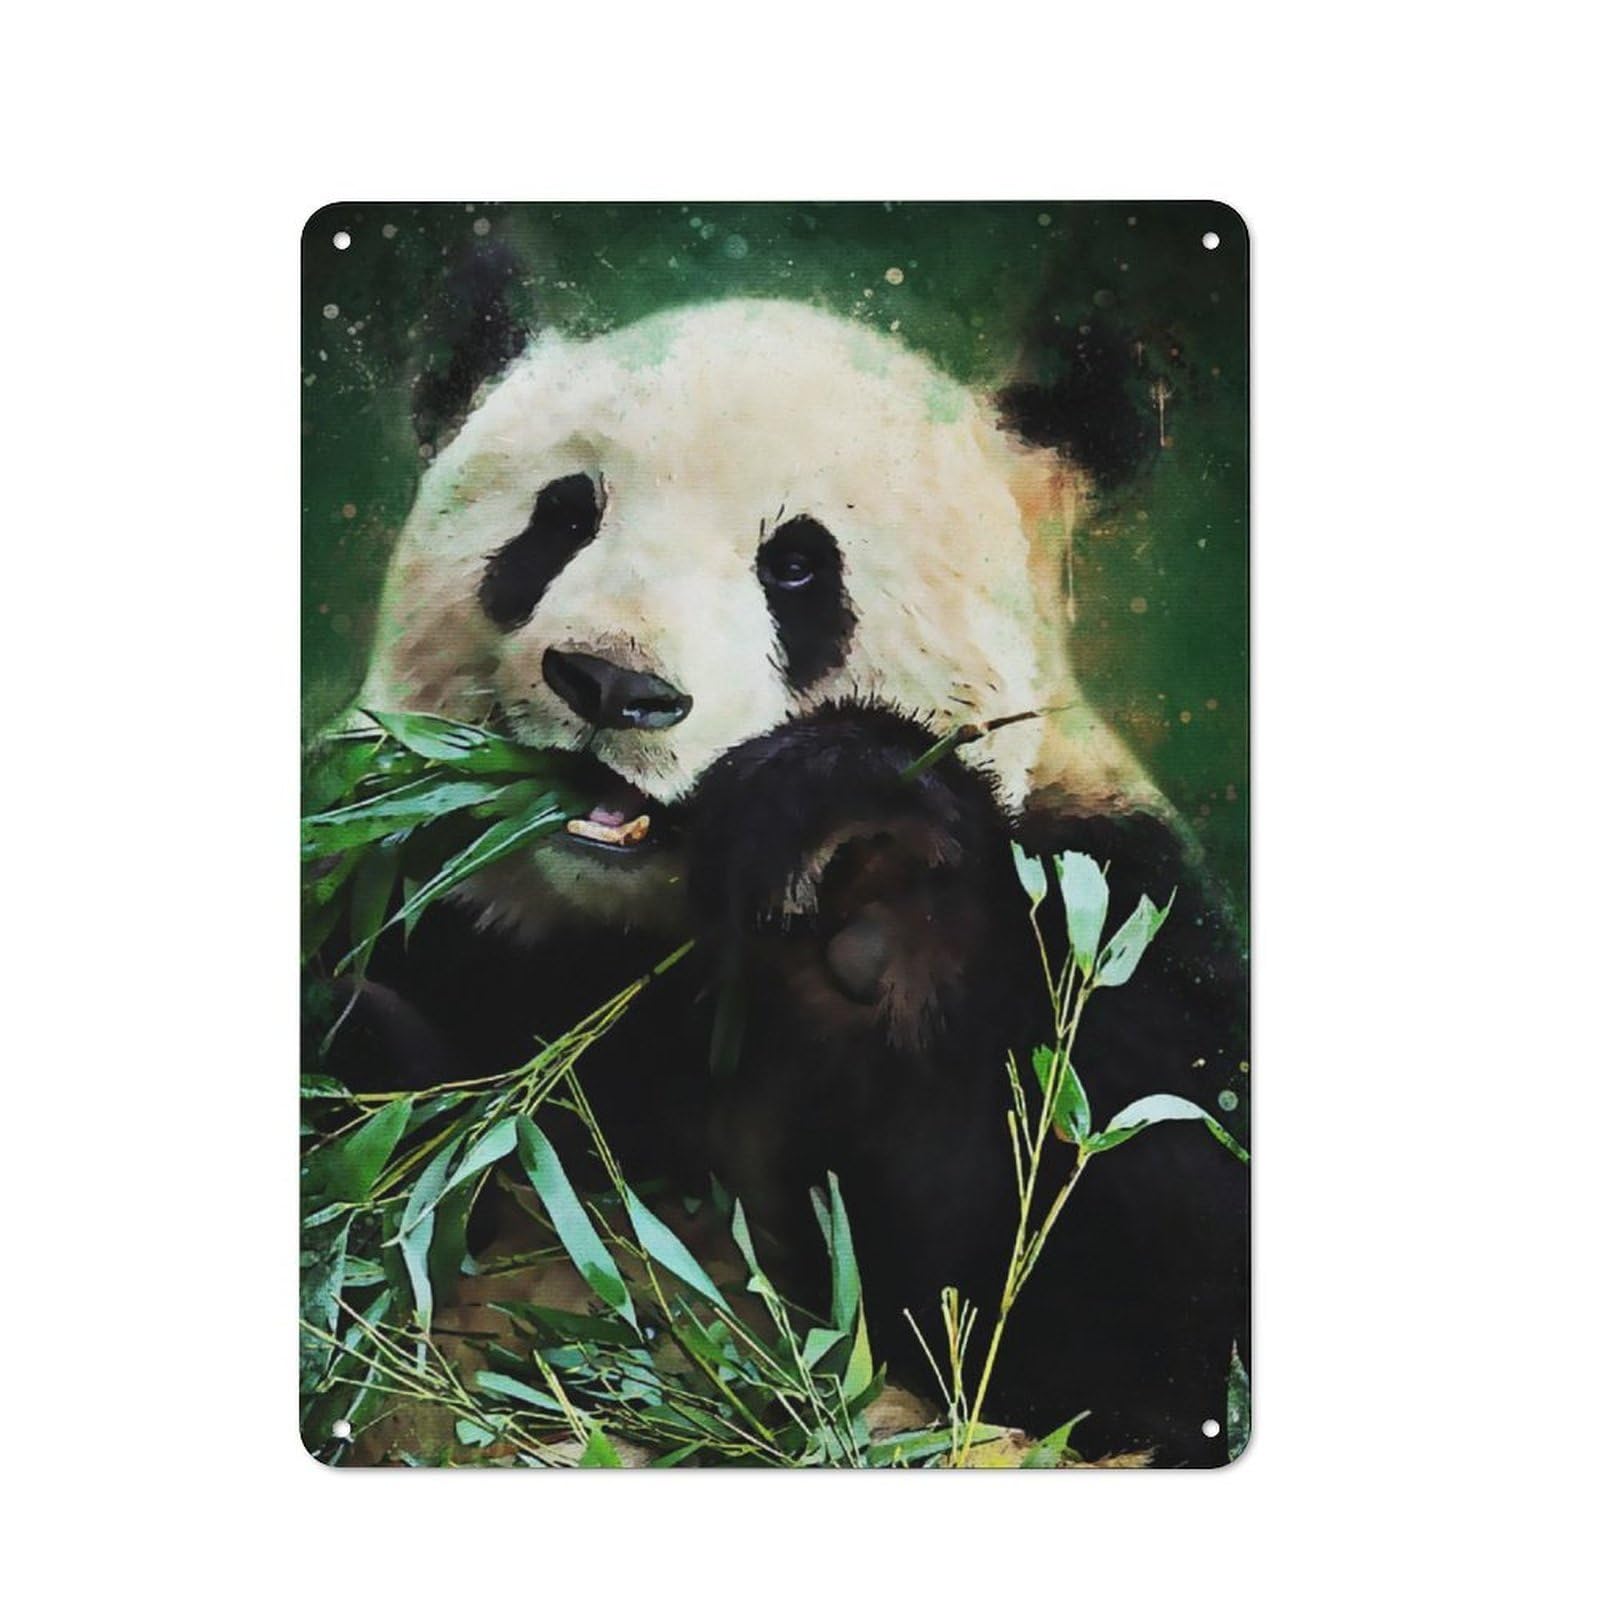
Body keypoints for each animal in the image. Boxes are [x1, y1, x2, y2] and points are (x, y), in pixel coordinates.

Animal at [334, 292, 1249, 1466]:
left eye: (799, 567)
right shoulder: (427, 909)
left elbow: (1134, 1300)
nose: (615, 685)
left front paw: (860, 873)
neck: (649, 947)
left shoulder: (1104, 911)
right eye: (562, 518)